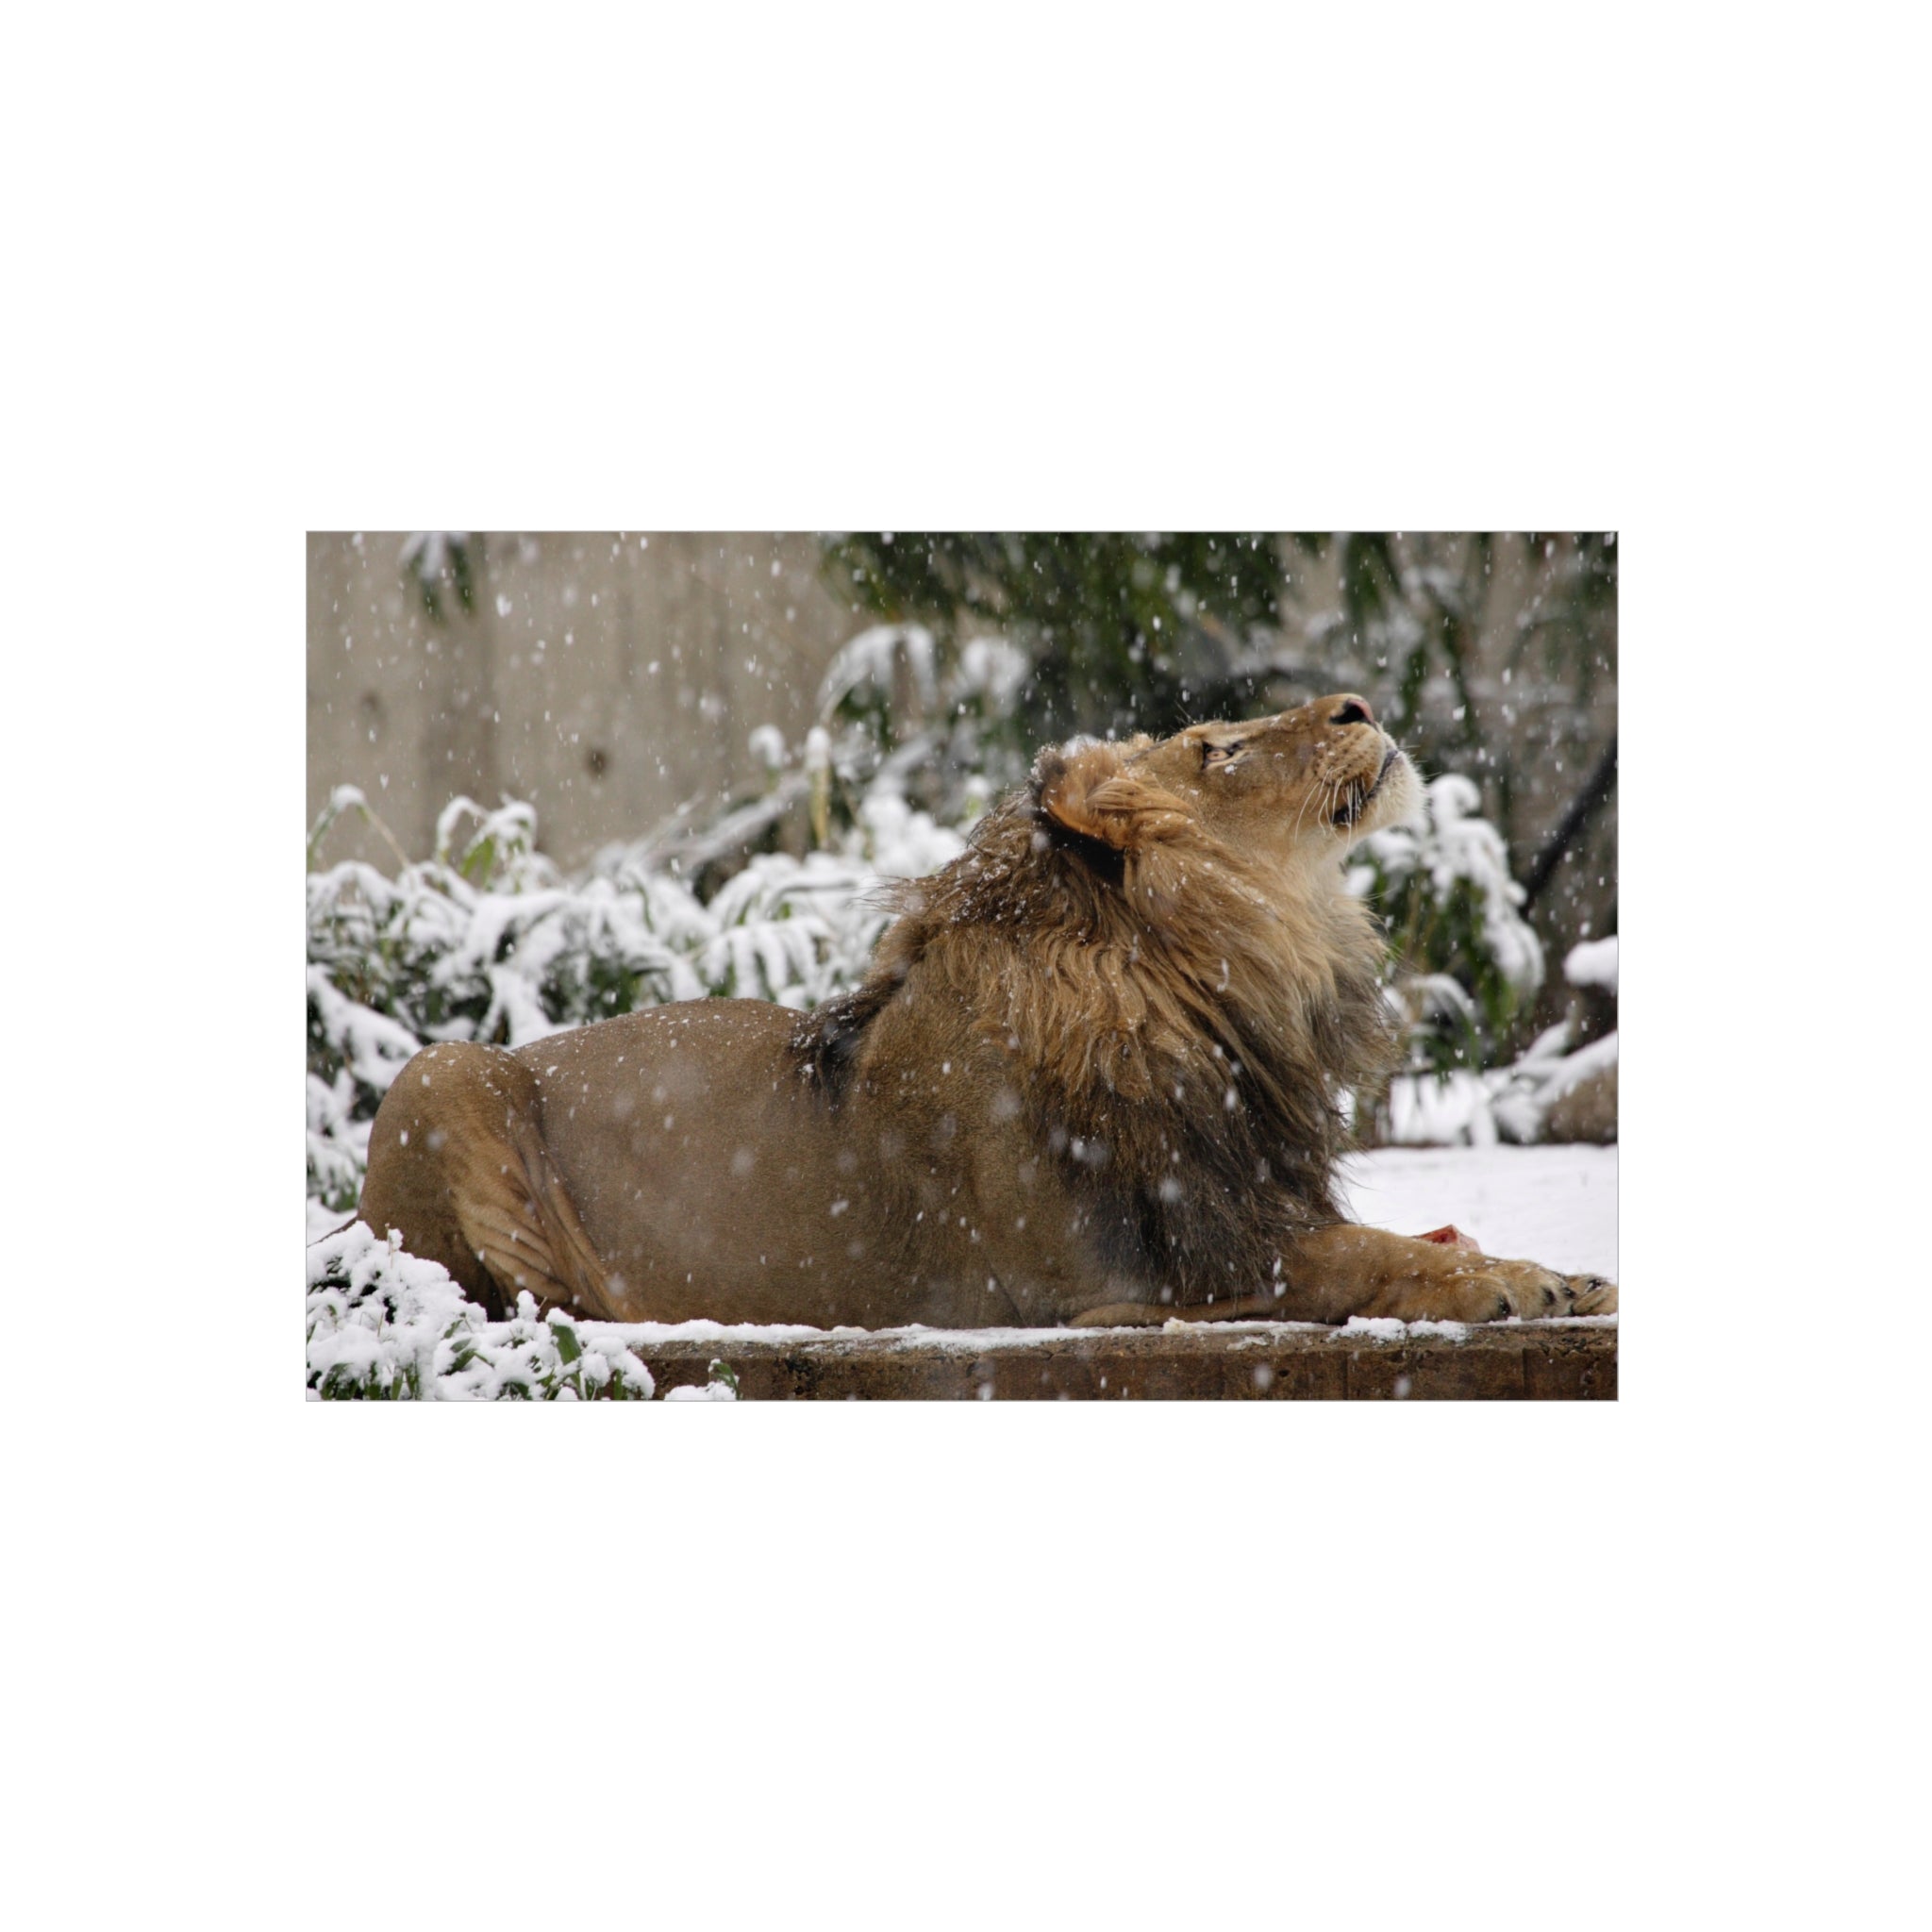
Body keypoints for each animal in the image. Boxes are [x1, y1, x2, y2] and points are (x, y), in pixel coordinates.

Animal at [357, 694, 1617, 1329]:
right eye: (1217, 746)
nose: (1357, 699)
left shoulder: (1237, 1201)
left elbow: (1401, 1238)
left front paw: (1553, 1270)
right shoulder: (1125, 1280)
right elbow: (1361, 1260)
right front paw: (1511, 1282)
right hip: (444, 1069)